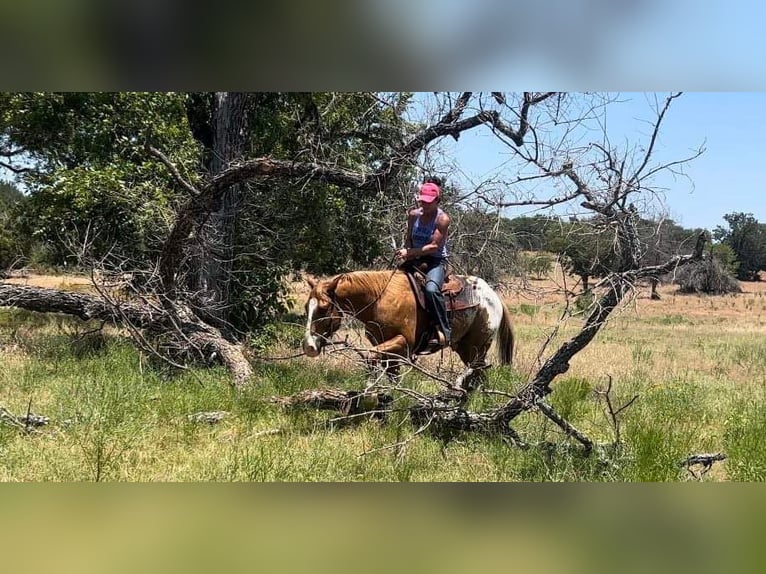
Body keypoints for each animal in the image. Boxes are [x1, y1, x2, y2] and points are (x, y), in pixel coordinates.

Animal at [302, 272, 516, 392]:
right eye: (306, 307)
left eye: (323, 308)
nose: (309, 346)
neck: (380, 298)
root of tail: (493, 296)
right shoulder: (388, 349)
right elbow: (392, 376)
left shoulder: (403, 342)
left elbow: (371, 357)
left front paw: (369, 386)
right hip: (465, 349)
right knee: (479, 377)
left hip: (477, 348)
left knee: (478, 373)